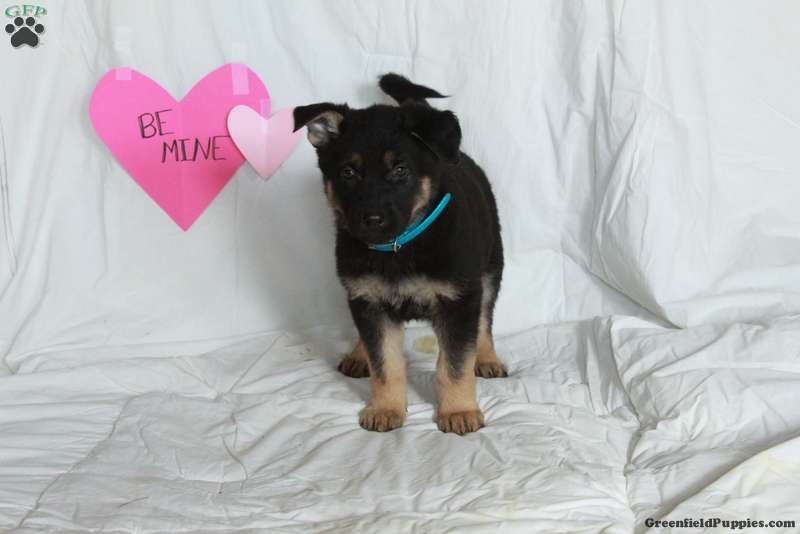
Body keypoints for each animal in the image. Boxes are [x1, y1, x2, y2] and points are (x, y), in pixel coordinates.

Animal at [293, 74, 506, 435]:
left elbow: (455, 363)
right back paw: (358, 355)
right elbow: (385, 363)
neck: (399, 246)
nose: (372, 219)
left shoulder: (459, 300)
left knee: (484, 320)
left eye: (400, 170)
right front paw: (385, 408)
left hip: (491, 268)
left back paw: (487, 358)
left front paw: (459, 410)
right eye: (348, 173)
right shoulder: (369, 301)